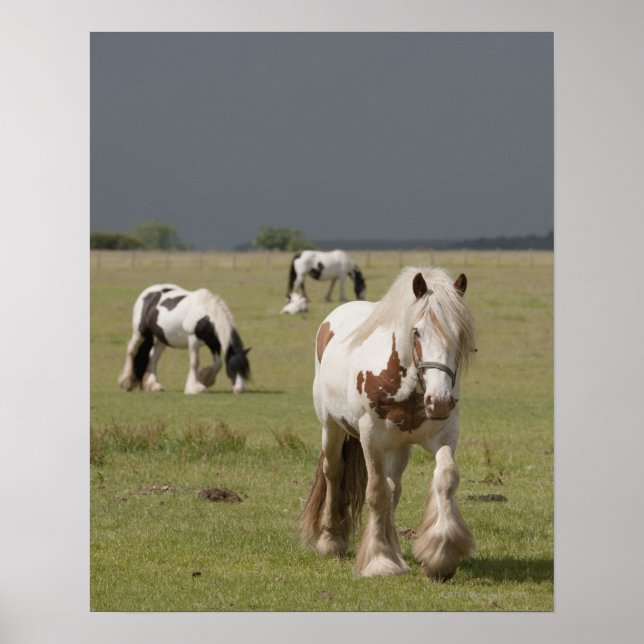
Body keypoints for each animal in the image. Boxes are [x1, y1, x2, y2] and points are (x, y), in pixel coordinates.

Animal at [118, 284, 251, 395]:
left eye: (245, 370)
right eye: (232, 368)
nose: (240, 390)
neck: (206, 313)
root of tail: (148, 292)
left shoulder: (214, 342)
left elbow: (218, 363)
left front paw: (204, 379)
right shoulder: (193, 339)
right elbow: (195, 362)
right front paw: (195, 388)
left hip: (163, 338)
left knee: (153, 356)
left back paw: (153, 385)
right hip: (140, 332)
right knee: (132, 351)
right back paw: (126, 382)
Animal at [299, 266, 477, 580]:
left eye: (458, 334)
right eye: (417, 331)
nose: (440, 401)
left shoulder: (444, 435)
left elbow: (445, 478)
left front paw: (441, 555)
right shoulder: (371, 439)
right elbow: (376, 492)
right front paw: (380, 561)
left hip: (399, 447)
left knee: (394, 487)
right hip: (331, 428)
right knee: (333, 472)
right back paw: (331, 540)